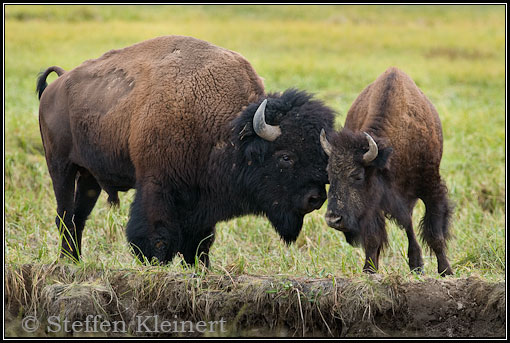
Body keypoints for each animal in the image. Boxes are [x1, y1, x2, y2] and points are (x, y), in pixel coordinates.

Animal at [36, 35, 334, 266]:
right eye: (286, 157)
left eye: (322, 156)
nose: (316, 198)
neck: (227, 129)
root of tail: (58, 84)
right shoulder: (157, 184)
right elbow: (156, 235)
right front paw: (155, 264)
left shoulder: (201, 199)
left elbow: (200, 241)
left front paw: (200, 267)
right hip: (60, 167)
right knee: (65, 215)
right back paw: (66, 261)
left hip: (89, 178)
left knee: (78, 217)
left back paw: (74, 260)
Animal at [320, 67, 452, 276]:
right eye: (329, 175)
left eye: (357, 176)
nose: (333, 219)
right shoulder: (373, 203)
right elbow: (373, 238)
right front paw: (369, 270)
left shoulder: (431, 188)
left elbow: (435, 235)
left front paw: (446, 271)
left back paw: (417, 265)